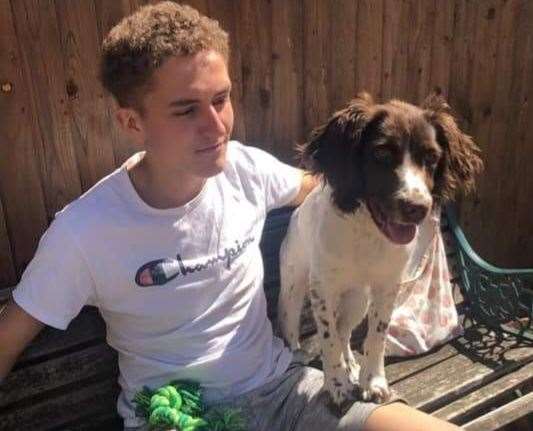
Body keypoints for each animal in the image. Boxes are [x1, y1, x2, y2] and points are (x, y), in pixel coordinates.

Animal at [278, 93, 482, 410]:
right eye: (382, 154)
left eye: (431, 158)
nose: (418, 208)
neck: (369, 232)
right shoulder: (323, 289)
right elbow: (328, 340)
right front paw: (337, 386)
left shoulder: (387, 286)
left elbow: (376, 337)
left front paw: (371, 382)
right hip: (294, 288)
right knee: (294, 327)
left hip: (357, 301)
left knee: (345, 331)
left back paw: (351, 364)